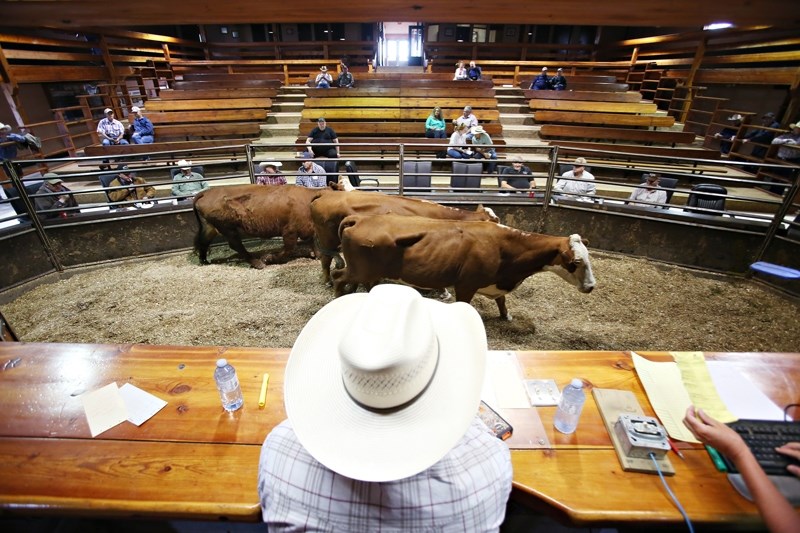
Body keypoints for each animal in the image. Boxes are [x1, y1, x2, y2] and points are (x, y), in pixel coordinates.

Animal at [195, 184, 342, 268]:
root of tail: (207, 192)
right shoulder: (289, 231)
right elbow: (288, 249)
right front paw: (269, 258)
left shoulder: (307, 228)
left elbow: (312, 242)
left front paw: (318, 255)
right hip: (228, 229)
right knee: (236, 245)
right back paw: (257, 263)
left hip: (211, 227)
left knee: (203, 241)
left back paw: (203, 260)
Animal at [332, 213, 592, 320]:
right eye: (575, 262)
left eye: (588, 259)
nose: (591, 286)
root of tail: (360, 218)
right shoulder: (466, 285)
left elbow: (502, 301)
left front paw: (506, 316)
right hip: (358, 268)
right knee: (337, 276)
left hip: (367, 271)